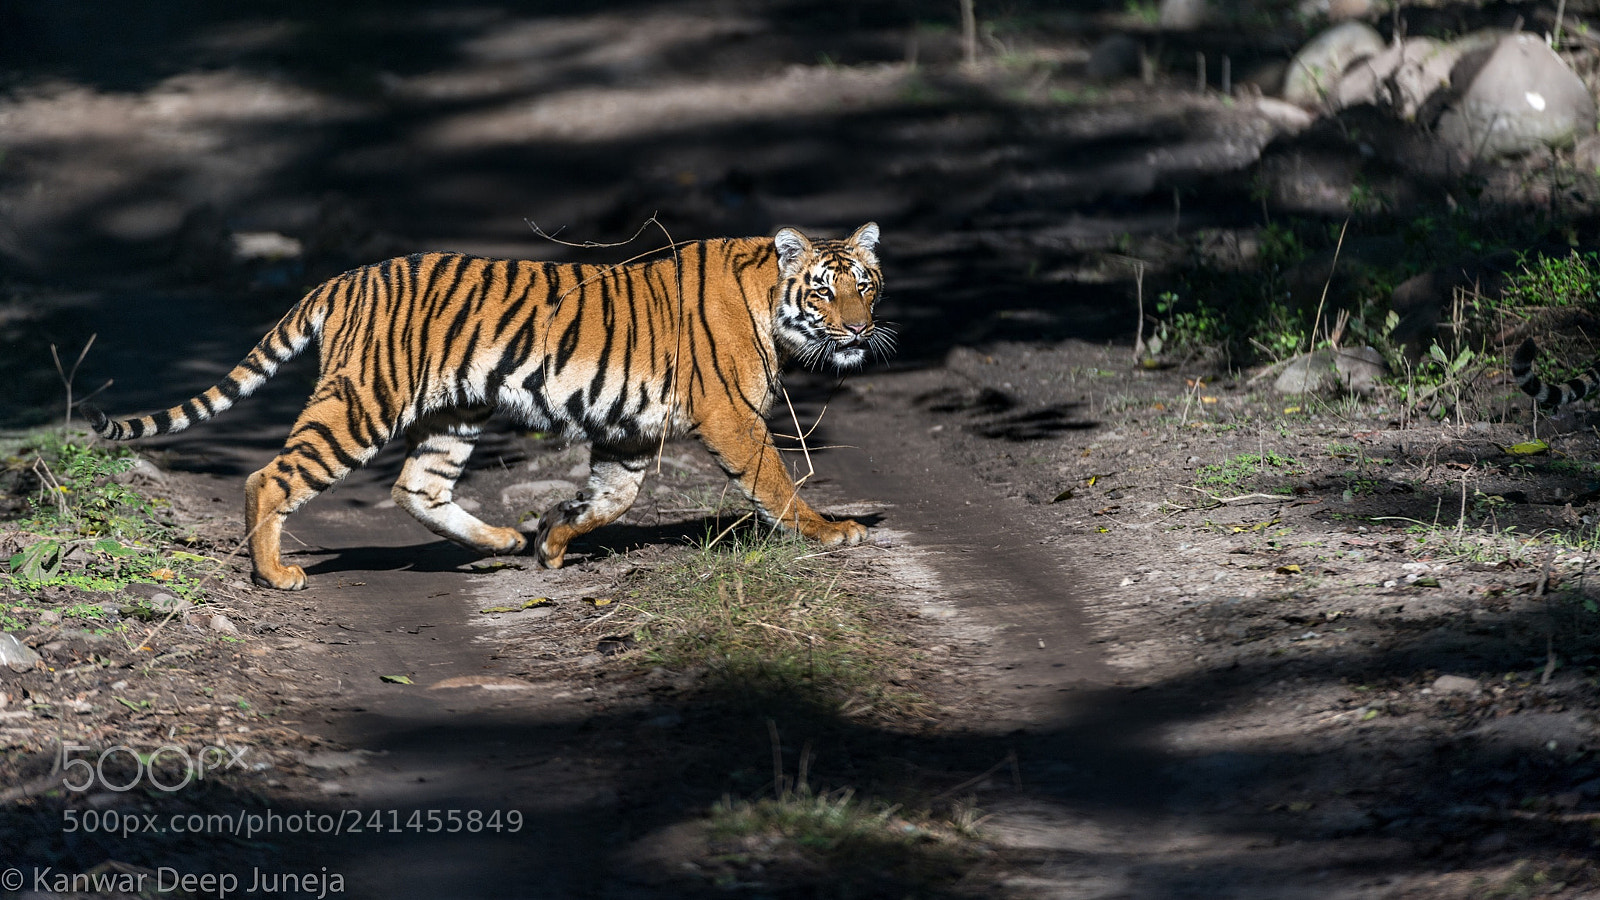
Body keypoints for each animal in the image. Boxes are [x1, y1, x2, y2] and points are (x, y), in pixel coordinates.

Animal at [85, 223, 891, 590]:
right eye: (824, 291)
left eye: (866, 285)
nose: (858, 329)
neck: (772, 304)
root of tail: (342, 278)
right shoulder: (731, 417)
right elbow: (778, 483)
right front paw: (831, 532)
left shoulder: (629, 432)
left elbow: (611, 498)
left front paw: (553, 542)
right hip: (363, 401)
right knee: (270, 476)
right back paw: (275, 574)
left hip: (454, 414)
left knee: (417, 487)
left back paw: (501, 541)